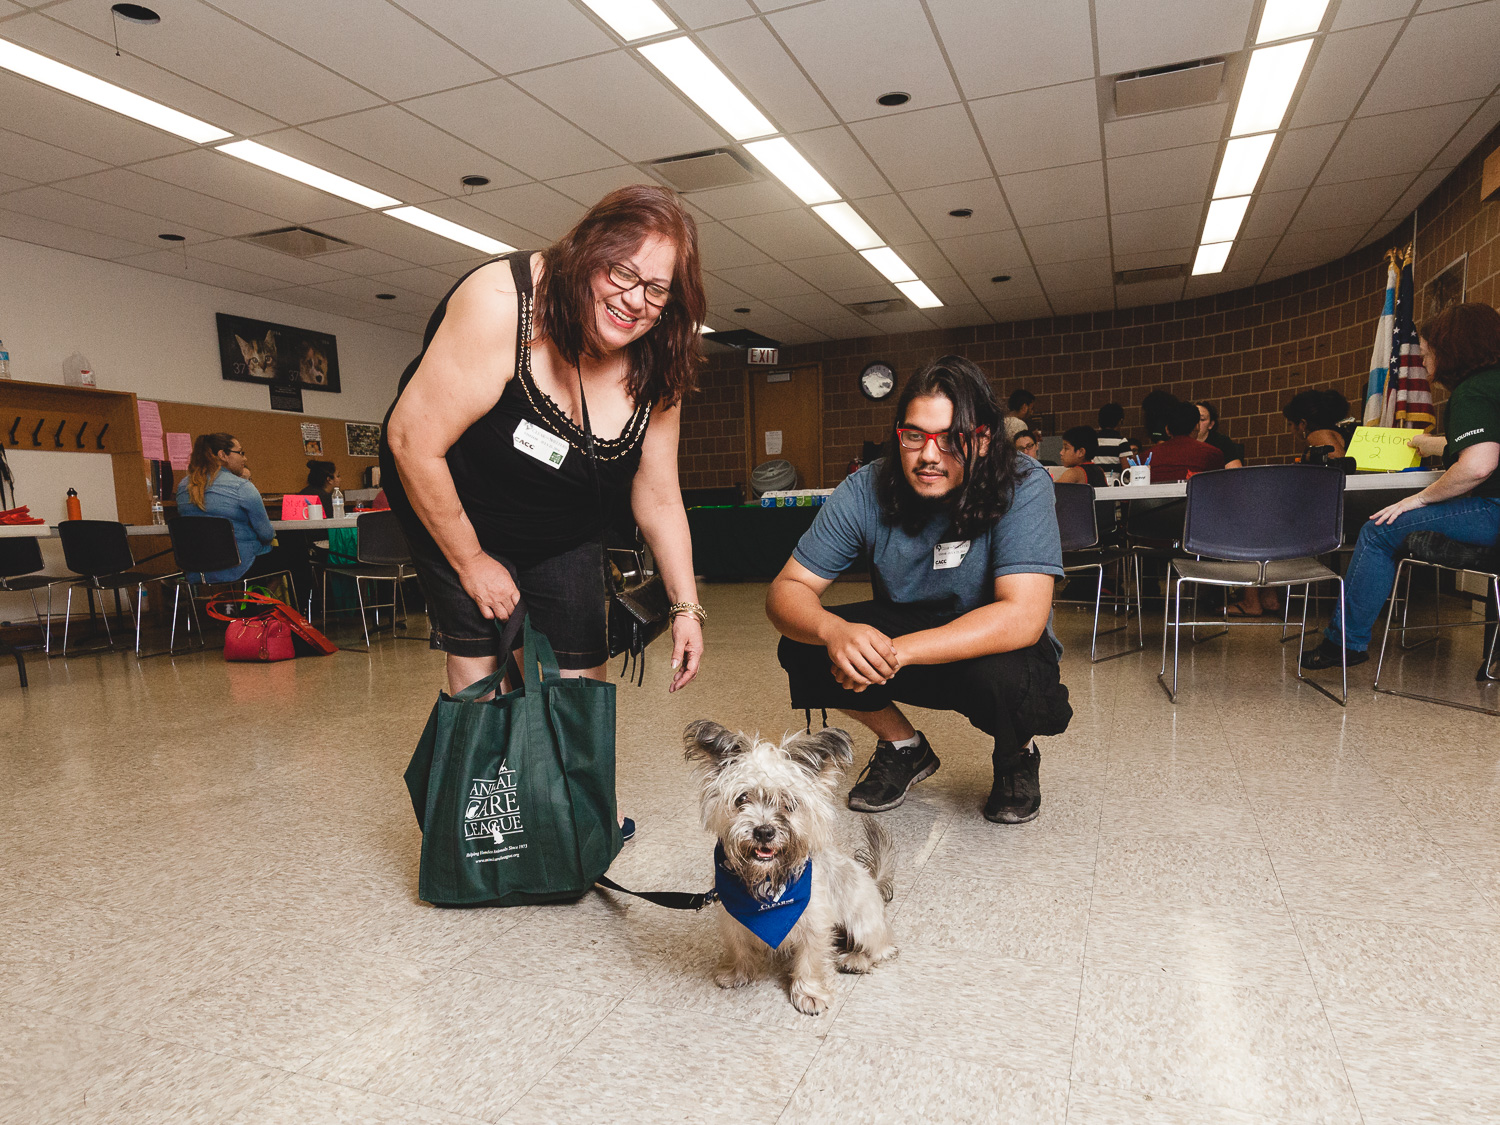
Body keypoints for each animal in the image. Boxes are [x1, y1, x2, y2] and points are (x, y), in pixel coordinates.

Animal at [687, 723, 894, 1020]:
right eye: (741, 799)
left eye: (790, 802)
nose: (764, 831)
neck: (766, 881)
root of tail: (873, 881)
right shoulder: (732, 917)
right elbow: (738, 945)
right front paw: (738, 972)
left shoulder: (815, 922)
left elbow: (811, 959)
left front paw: (809, 993)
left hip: (863, 923)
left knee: (881, 949)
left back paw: (856, 959)